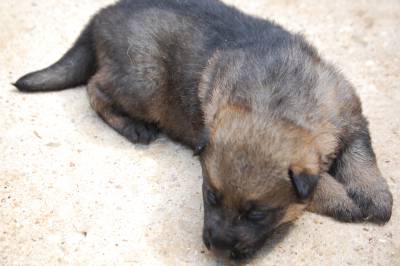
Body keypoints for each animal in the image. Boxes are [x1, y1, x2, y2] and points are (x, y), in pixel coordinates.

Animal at [14, 0, 392, 260]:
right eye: (210, 196)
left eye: (257, 214)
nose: (218, 248)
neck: (280, 100)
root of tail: (101, 15)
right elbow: (321, 182)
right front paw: (343, 199)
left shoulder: (350, 116)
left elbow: (361, 157)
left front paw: (375, 197)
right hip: (143, 82)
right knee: (95, 87)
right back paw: (133, 127)